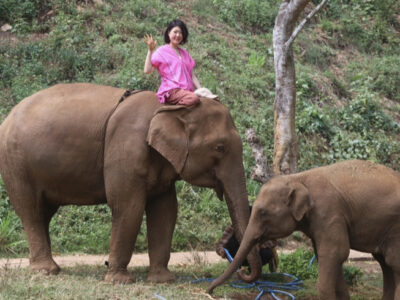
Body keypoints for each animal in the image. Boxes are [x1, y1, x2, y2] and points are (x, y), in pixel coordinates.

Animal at [0, 84, 262, 284]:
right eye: (220, 147)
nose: (243, 272)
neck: (168, 108)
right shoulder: (126, 148)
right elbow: (128, 208)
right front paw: (119, 281)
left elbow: (165, 212)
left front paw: (163, 281)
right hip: (15, 163)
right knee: (31, 211)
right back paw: (46, 271)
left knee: (44, 213)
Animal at [208, 159, 400, 300]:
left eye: (262, 213)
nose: (209, 292)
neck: (298, 178)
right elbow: (327, 255)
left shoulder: (329, 212)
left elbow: (335, 253)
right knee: (385, 264)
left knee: (392, 262)